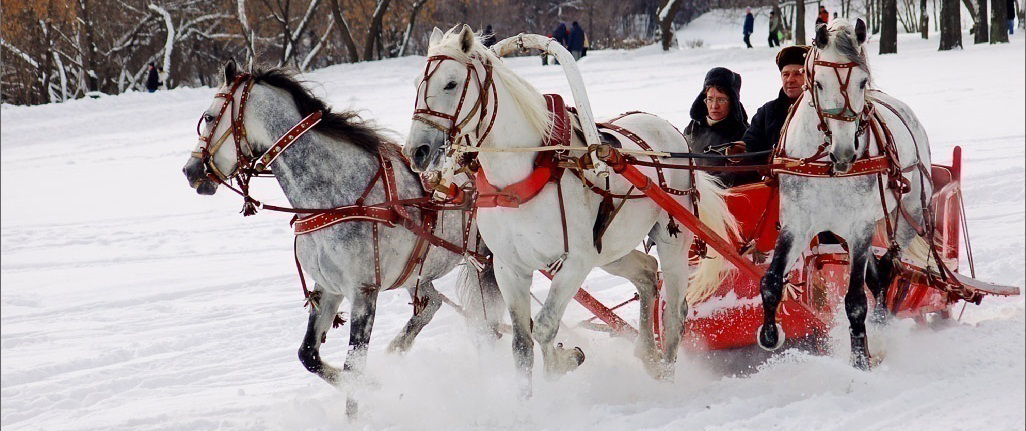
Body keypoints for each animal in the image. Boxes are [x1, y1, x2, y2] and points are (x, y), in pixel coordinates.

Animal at [183, 60, 504, 414]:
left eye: (209, 117)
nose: (190, 171)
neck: (337, 197)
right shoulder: (327, 288)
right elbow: (309, 356)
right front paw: (378, 385)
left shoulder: (363, 293)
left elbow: (353, 368)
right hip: (418, 274)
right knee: (431, 305)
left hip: (489, 263)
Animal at [400, 25, 738, 385]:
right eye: (417, 83)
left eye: (450, 83)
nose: (416, 151)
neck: (520, 178)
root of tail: (672, 134)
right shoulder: (510, 267)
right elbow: (522, 344)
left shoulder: (576, 261)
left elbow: (545, 327)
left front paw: (562, 362)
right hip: (610, 249)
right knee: (647, 274)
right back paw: (648, 354)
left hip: (671, 239)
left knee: (675, 312)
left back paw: (667, 375)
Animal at [759, 19, 935, 369]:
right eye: (819, 83)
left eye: (862, 81)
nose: (844, 152)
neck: (825, 165)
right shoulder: (797, 224)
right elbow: (770, 281)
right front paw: (771, 334)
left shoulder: (860, 225)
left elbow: (855, 300)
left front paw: (860, 357)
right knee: (877, 275)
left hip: (907, 214)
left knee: (888, 270)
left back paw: (881, 325)